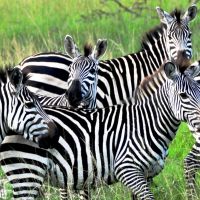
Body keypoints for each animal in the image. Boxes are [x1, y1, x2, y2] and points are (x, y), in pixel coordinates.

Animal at [1, 60, 200, 199]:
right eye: (183, 95)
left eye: (199, 91)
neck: (147, 123)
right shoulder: (127, 169)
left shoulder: (146, 175)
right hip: (27, 173)